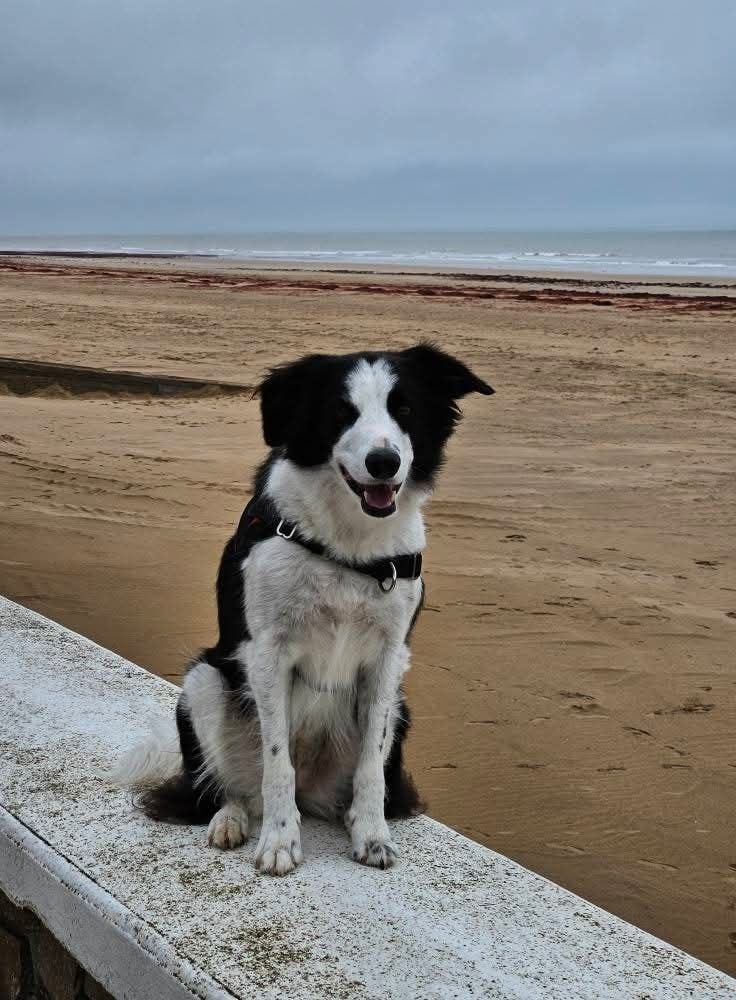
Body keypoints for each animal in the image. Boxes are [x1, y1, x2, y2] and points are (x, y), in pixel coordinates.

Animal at [115, 346, 492, 876]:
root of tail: (314, 789)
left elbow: (371, 766)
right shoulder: (267, 654)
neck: (348, 547)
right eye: (340, 412)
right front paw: (279, 840)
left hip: (399, 706)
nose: (384, 462)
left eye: (405, 409)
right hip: (206, 680)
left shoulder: (388, 660)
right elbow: (277, 761)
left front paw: (372, 833)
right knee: (226, 787)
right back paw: (231, 819)